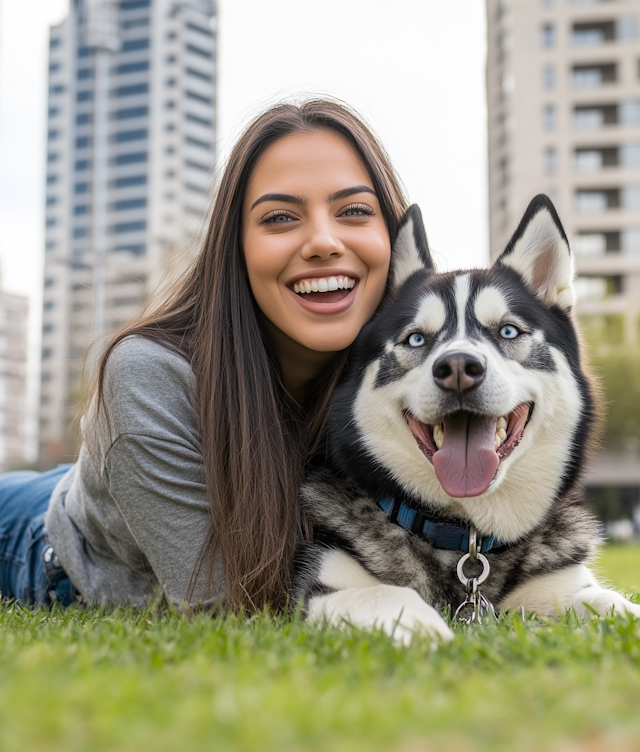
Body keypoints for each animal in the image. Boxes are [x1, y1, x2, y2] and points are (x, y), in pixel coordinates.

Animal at [296, 195, 640, 648]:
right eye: (416, 338)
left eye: (508, 331)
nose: (459, 367)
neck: (468, 535)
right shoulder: (318, 589)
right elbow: (382, 592)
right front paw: (421, 625)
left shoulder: (562, 588)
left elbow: (610, 602)